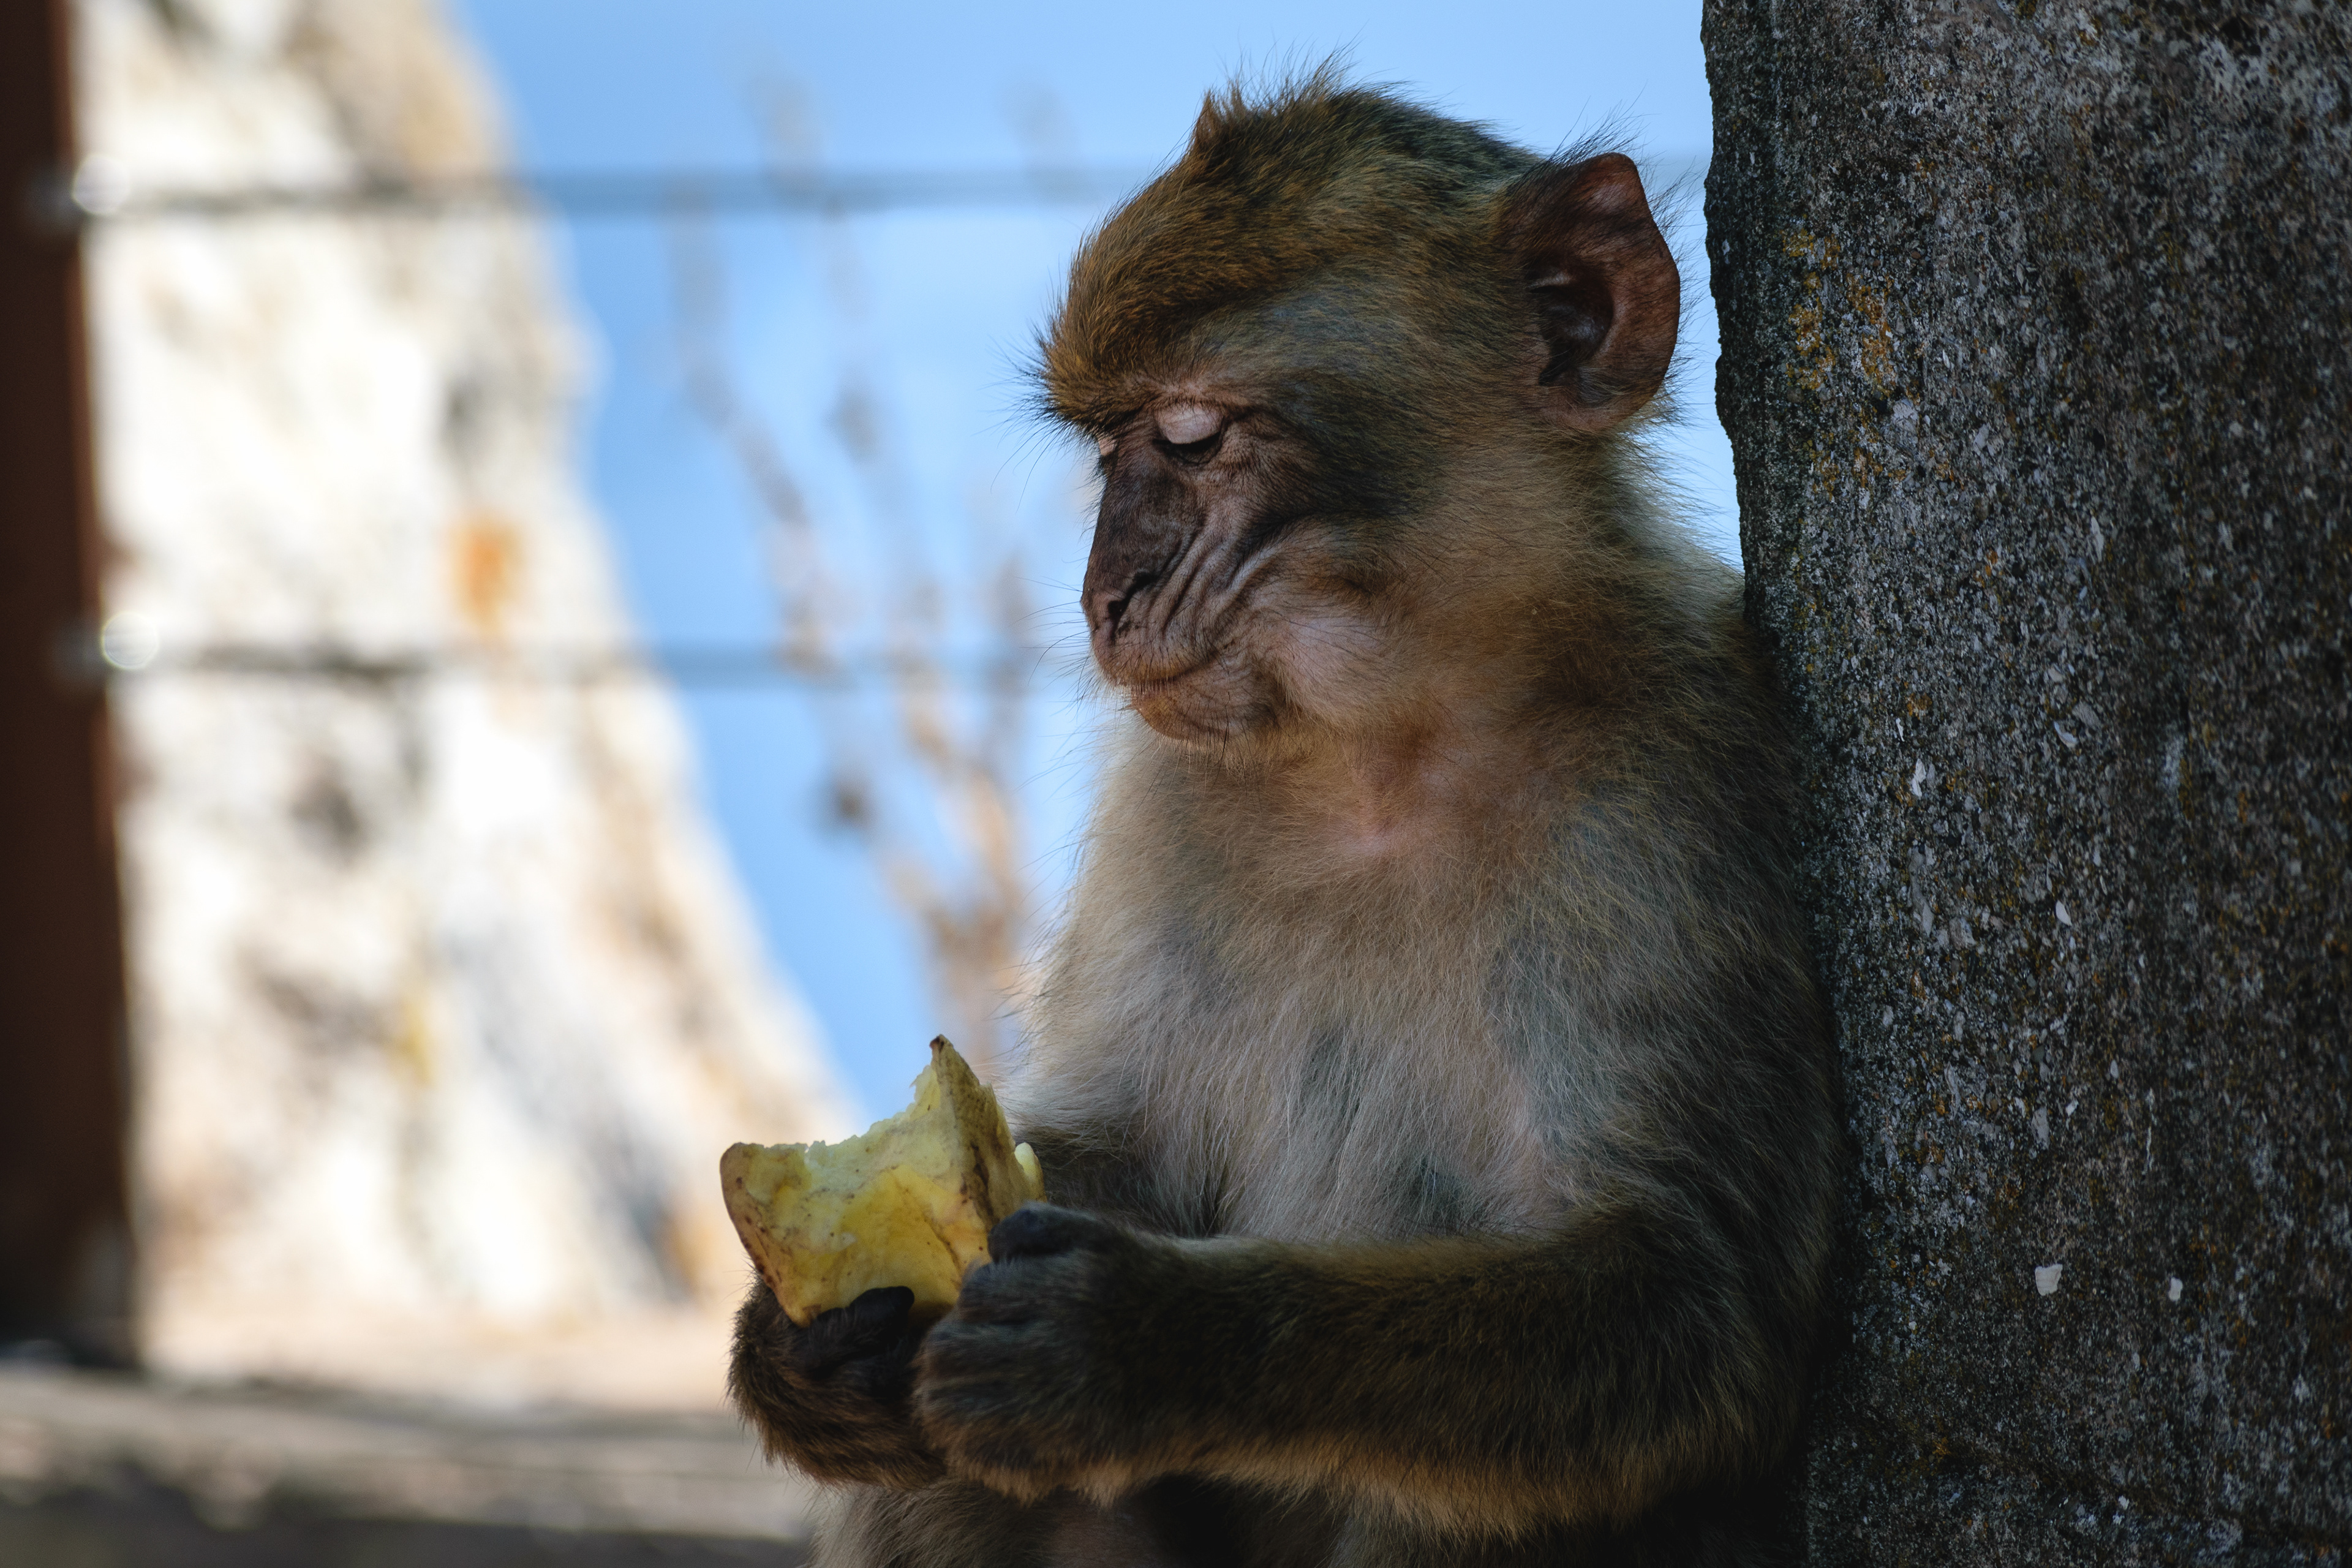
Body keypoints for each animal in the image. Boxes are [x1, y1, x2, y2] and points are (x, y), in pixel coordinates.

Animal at [729, 75, 1838, 1566]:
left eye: (1192, 436)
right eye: (1109, 447)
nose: (1109, 595)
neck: (1394, 755)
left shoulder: (1691, 790)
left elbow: (1686, 1299)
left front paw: (1146, 1342)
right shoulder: (1167, 798)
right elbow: (1122, 1153)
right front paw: (803, 1350)